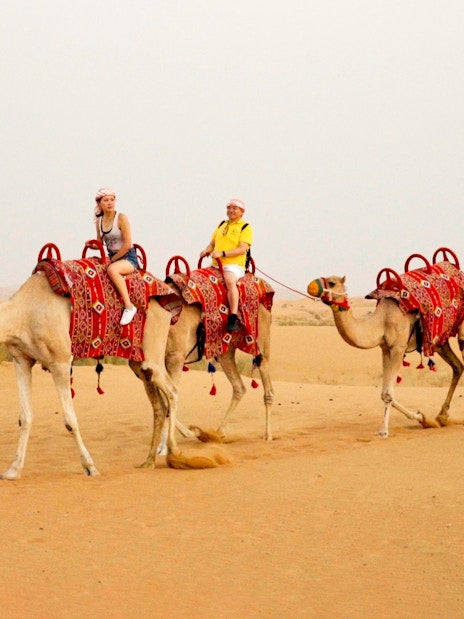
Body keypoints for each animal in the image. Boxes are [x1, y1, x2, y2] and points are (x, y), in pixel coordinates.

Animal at [308, 274, 464, 438]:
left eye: (332, 283)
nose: (310, 286)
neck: (382, 320)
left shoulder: (398, 348)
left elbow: (388, 393)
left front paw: (385, 430)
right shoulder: (385, 349)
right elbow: (384, 393)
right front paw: (424, 418)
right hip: (440, 341)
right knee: (458, 367)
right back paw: (442, 416)